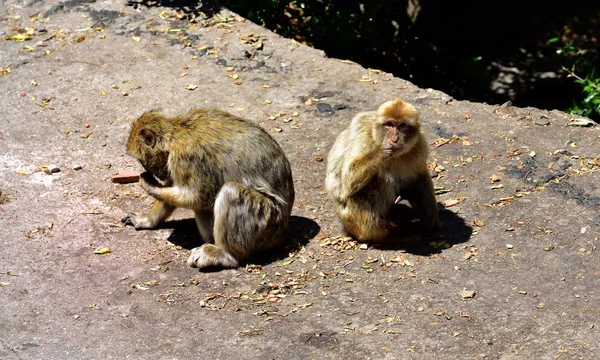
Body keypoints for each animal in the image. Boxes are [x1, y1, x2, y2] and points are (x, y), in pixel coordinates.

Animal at [122, 108, 296, 268]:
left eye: (142, 161)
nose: (151, 172)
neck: (176, 133)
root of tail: (285, 229)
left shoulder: (186, 157)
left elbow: (197, 197)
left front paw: (148, 184)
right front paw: (148, 220)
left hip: (268, 222)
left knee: (230, 192)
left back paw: (225, 254)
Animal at [326, 97, 438, 242]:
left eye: (402, 126)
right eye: (389, 124)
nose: (394, 138)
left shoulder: (419, 145)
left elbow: (419, 175)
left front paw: (430, 216)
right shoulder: (362, 134)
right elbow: (348, 179)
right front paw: (381, 151)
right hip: (351, 219)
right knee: (378, 181)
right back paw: (393, 232)